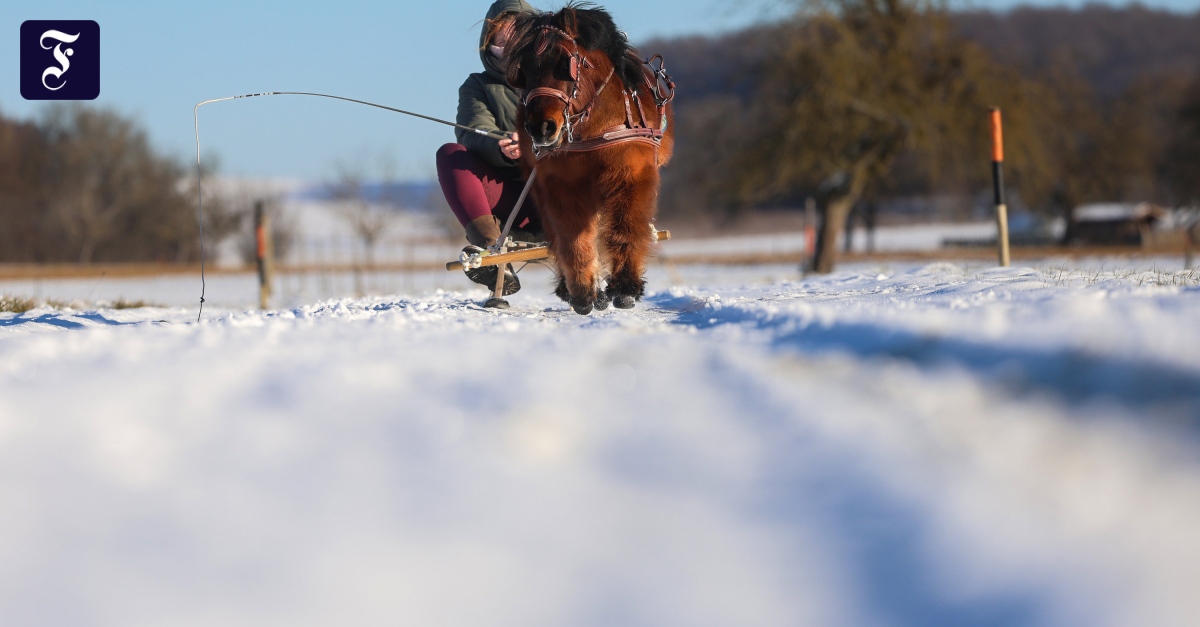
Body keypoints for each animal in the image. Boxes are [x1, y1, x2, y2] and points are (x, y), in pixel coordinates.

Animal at [504, 4, 676, 314]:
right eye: (524, 70)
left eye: (566, 64)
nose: (540, 128)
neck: (593, 128)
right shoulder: (561, 184)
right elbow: (572, 238)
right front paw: (584, 292)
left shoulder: (630, 175)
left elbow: (625, 228)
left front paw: (625, 288)